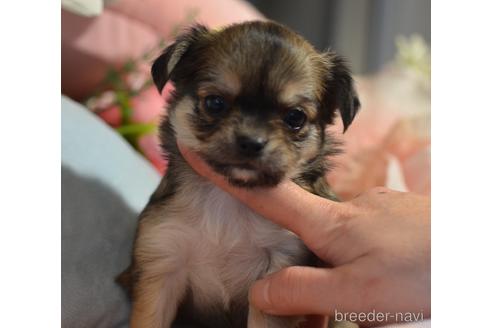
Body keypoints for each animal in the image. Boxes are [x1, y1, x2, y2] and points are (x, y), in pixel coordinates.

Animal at [117, 21, 360, 328]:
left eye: (295, 118)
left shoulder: (278, 272)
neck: (228, 200)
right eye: (215, 103)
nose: (251, 142)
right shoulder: (162, 257)